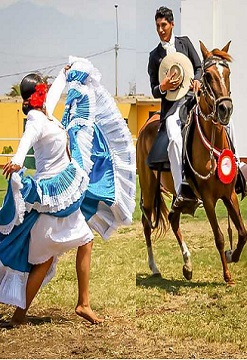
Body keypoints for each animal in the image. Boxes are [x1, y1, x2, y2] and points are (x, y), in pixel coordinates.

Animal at [137, 41, 247, 284]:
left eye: (227, 73)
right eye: (207, 75)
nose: (225, 109)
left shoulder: (229, 194)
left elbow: (243, 232)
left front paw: (232, 256)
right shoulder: (208, 198)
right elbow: (219, 236)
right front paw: (227, 275)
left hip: (179, 197)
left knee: (173, 219)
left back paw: (187, 265)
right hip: (148, 189)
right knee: (147, 223)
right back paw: (154, 266)